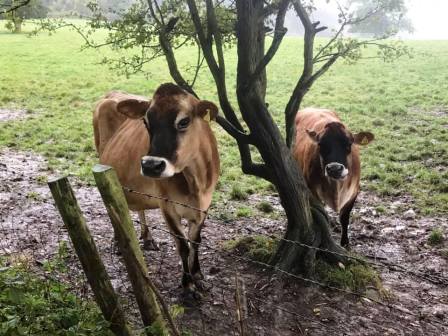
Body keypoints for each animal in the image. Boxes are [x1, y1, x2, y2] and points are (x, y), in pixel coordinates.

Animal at [93, 83, 220, 296]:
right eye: (146, 122)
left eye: (184, 121)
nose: (151, 165)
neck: (196, 184)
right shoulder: (167, 206)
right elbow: (183, 245)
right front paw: (187, 284)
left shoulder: (205, 205)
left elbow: (196, 241)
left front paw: (198, 276)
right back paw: (118, 242)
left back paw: (147, 238)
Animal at [294, 108, 374, 247]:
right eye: (321, 145)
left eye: (349, 144)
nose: (335, 168)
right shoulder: (313, 191)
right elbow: (322, 213)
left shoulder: (354, 192)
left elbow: (345, 218)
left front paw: (345, 243)